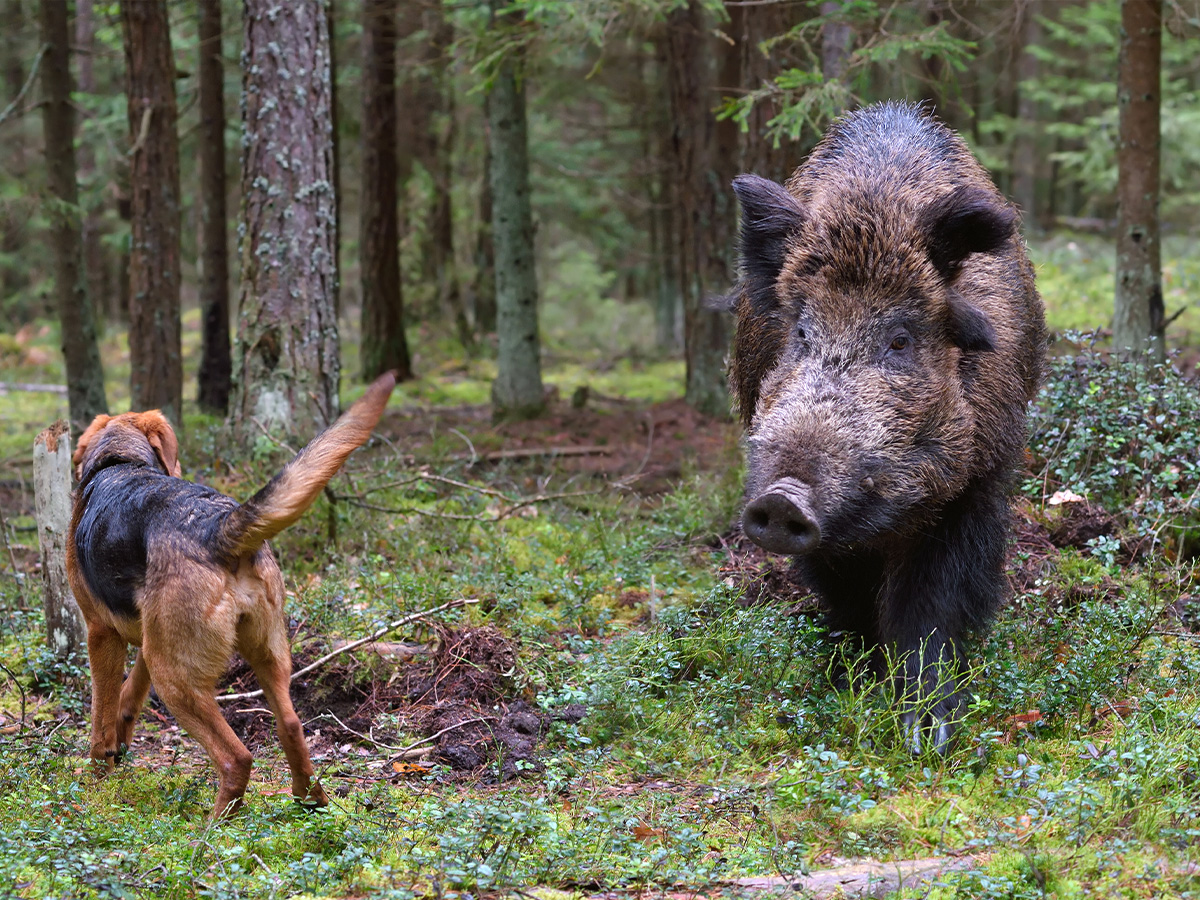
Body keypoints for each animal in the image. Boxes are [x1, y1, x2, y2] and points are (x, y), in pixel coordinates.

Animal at [68, 372, 396, 816]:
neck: (120, 461)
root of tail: (218, 526)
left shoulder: (101, 633)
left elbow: (101, 711)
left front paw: (98, 775)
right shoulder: (149, 640)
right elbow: (128, 697)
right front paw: (120, 742)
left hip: (177, 680)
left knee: (236, 756)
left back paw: (212, 826)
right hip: (262, 654)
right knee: (290, 726)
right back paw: (309, 802)